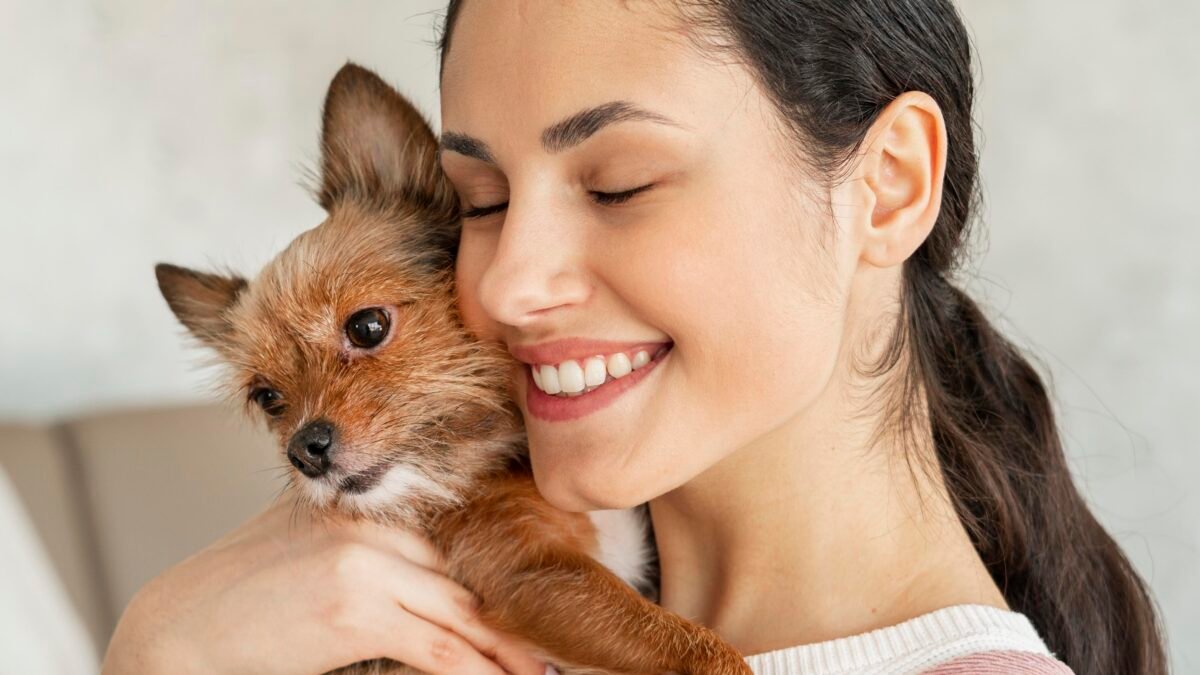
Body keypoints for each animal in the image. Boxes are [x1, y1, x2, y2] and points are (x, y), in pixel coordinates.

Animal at [154, 63, 744, 672]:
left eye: (367, 326)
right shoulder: (528, 570)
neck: (490, 464)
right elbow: (694, 647)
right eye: (268, 397)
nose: (303, 450)